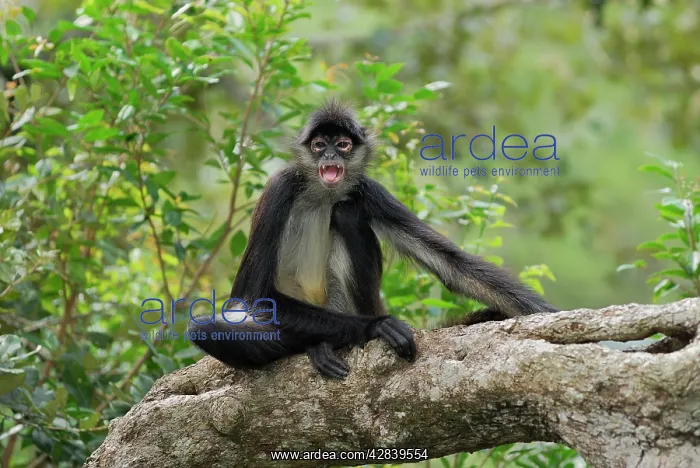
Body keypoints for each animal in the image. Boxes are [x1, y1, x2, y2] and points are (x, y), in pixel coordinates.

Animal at [187, 100, 559, 379]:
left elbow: (453, 266)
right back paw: (317, 343)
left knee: (346, 213)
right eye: (320, 145)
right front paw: (376, 327)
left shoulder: (368, 191)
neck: (323, 194)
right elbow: (252, 295)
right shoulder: (281, 187)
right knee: (206, 328)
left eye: (343, 144)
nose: (330, 157)